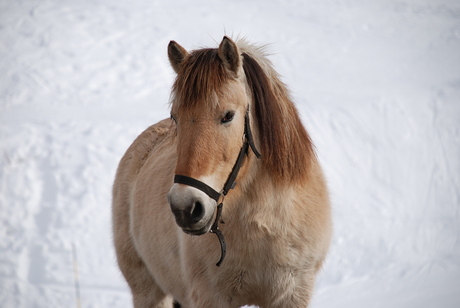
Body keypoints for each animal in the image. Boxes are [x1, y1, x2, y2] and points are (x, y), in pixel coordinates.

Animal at [113, 36, 332, 308]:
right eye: (175, 117)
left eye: (228, 116)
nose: (184, 208)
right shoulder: (210, 297)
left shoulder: (291, 295)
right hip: (148, 291)